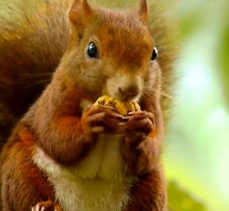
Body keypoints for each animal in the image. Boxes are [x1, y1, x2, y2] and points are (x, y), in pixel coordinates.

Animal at [0, 0, 177, 209]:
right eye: (91, 50)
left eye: (154, 53)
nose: (130, 89)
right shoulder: (55, 98)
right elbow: (54, 134)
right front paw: (91, 121)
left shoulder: (152, 104)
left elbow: (153, 145)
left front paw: (141, 128)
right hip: (20, 170)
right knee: (27, 195)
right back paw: (45, 206)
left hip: (151, 185)